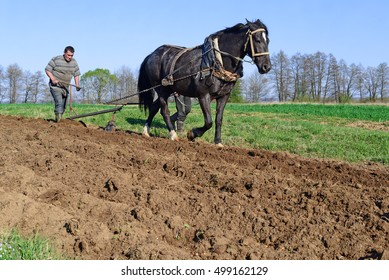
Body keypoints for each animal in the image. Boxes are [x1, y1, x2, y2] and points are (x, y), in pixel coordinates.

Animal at [139, 19, 270, 145]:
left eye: (268, 40)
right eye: (257, 40)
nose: (266, 67)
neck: (217, 61)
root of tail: (152, 54)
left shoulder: (224, 96)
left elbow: (218, 119)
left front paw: (218, 142)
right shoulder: (203, 95)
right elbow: (208, 121)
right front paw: (192, 134)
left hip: (167, 89)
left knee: (154, 108)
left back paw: (146, 131)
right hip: (160, 89)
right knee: (164, 111)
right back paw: (172, 134)